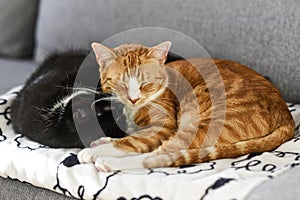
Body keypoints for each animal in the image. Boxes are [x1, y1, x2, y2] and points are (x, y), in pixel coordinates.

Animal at [77, 41, 296, 172]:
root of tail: (286, 114)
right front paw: (104, 139)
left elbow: (134, 142)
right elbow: (132, 137)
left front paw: (96, 150)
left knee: (166, 152)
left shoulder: (164, 127)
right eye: (121, 84)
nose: (133, 99)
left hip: (202, 117)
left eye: (145, 83)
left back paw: (106, 161)